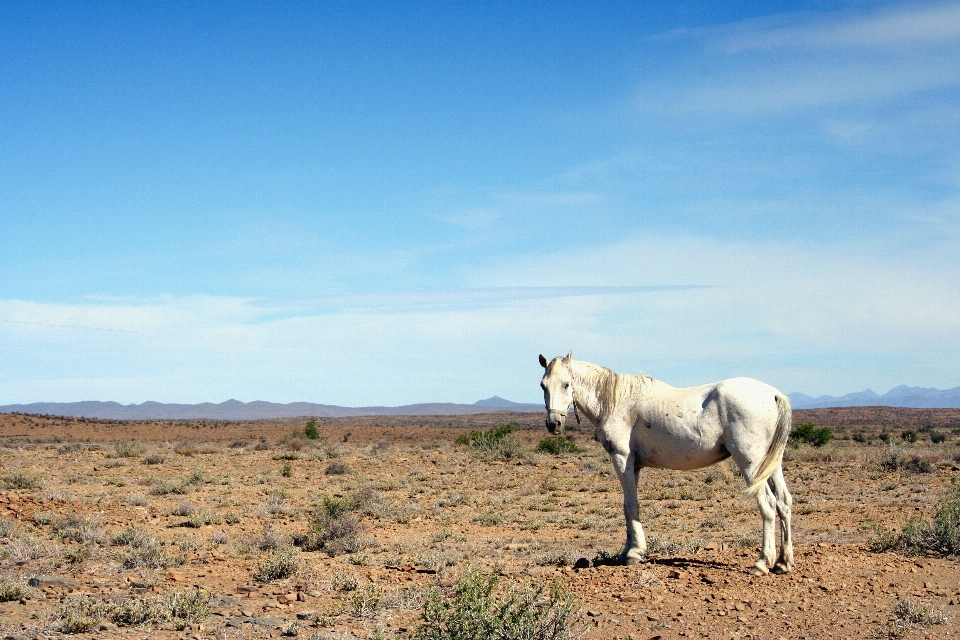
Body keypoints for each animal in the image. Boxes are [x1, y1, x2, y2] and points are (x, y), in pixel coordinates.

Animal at [540, 350, 796, 576]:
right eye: (543, 385)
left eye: (566, 384)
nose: (553, 424)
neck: (616, 402)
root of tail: (773, 394)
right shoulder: (634, 465)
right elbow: (627, 507)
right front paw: (625, 552)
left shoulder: (622, 459)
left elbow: (631, 505)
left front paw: (634, 554)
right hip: (771, 464)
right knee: (783, 502)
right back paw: (783, 563)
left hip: (751, 464)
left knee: (768, 504)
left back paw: (762, 563)